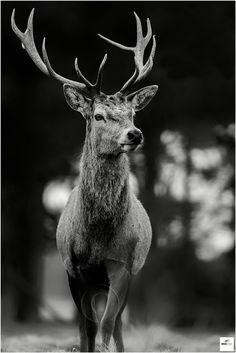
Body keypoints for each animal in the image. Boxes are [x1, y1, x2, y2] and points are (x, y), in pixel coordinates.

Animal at [11, 8, 159, 352]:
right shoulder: (73, 267)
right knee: (86, 325)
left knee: (117, 323)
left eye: (132, 113)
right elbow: (87, 328)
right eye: (98, 115)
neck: (97, 237)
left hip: (130, 272)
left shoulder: (123, 263)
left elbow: (106, 325)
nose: (135, 134)